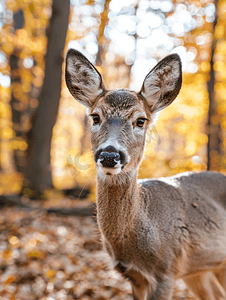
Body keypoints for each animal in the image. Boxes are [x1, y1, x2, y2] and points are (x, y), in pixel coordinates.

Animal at [65, 49, 226, 300]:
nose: (110, 154)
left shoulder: (166, 271)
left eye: (141, 120)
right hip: (200, 270)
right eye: (95, 117)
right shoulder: (135, 277)